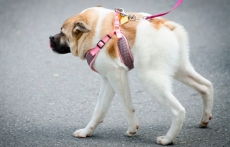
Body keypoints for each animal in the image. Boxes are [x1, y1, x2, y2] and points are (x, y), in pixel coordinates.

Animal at [49, 6, 214, 145]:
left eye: (62, 32)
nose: (50, 37)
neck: (95, 31)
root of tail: (166, 25)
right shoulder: (108, 80)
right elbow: (99, 109)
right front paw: (86, 132)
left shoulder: (117, 75)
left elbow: (127, 106)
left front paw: (133, 129)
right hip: (181, 70)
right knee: (206, 86)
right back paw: (205, 119)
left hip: (150, 78)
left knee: (178, 111)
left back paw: (167, 139)